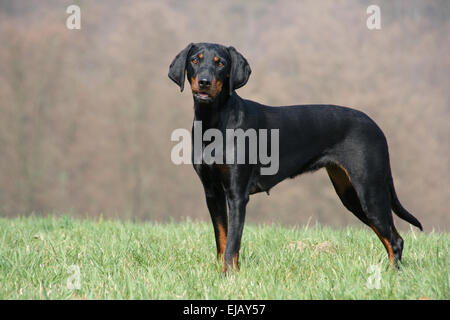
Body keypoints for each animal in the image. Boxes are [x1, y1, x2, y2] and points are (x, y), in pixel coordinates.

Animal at [168, 42, 422, 272]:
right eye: (195, 60)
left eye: (220, 63)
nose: (204, 81)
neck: (213, 122)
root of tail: (376, 127)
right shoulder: (212, 192)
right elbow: (221, 238)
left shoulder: (237, 194)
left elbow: (232, 242)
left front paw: (230, 275)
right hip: (350, 194)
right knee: (391, 237)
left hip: (369, 190)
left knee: (394, 239)